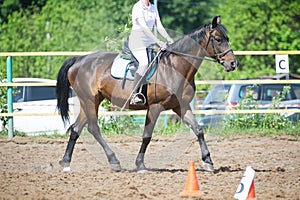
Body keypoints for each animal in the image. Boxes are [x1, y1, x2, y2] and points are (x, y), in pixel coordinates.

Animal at [56, 16, 238, 172]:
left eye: (227, 38)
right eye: (218, 39)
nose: (233, 63)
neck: (175, 67)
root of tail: (79, 60)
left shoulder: (181, 106)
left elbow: (198, 129)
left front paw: (208, 162)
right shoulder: (155, 107)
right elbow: (147, 136)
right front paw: (140, 165)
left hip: (90, 101)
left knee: (76, 129)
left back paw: (65, 162)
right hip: (89, 100)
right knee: (93, 128)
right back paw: (114, 161)